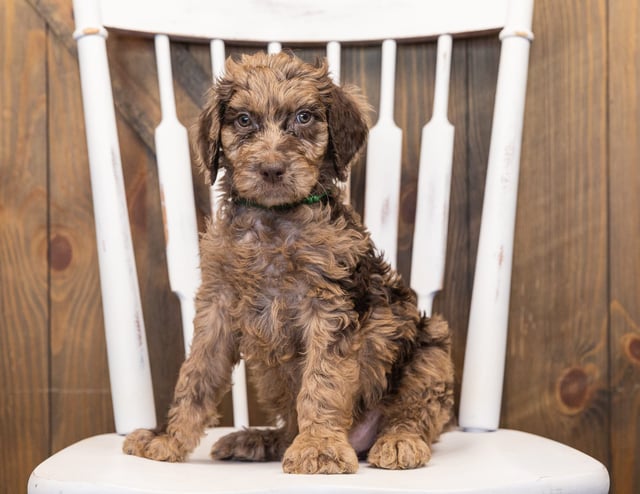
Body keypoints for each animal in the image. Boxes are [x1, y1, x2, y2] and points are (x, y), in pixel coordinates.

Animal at [124, 51, 456, 474]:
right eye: (243, 120)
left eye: (304, 117)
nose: (271, 169)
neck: (274, 218)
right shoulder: (218, 304)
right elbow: (196, 373)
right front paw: (167, 437)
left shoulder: (330, 306)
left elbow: (323, 381)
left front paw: (320, 447)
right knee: (288, 426)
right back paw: (257, 440)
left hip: (431, 349)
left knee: (416, 408)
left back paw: (398, 440)